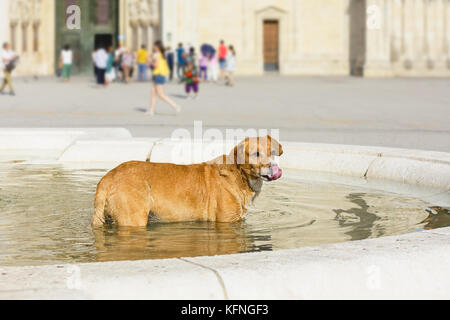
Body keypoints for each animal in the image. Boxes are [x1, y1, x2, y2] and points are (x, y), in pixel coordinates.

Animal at [92, 136, 284, 226]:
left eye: (273, 152)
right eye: (256, 154)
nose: (274, 168)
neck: (238, 175)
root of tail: (107, 178)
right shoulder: (226, 221)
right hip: (133, 218)